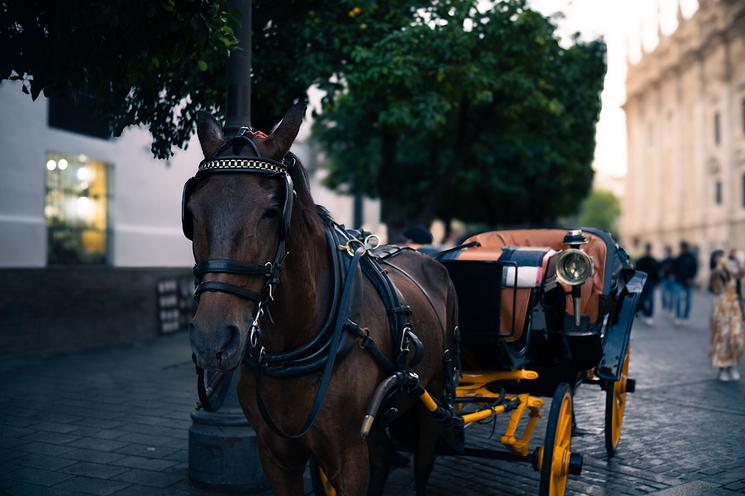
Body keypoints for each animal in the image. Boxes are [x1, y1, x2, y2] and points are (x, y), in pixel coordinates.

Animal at [186, 104, 458, 495]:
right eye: (192, 212)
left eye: (272, 211)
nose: (212, 339)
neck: (294, 341)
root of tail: (428, 258)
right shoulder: (276, 456)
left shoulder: (348, 458)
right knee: (383, 458)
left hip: (433, 397)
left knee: (423, 463)